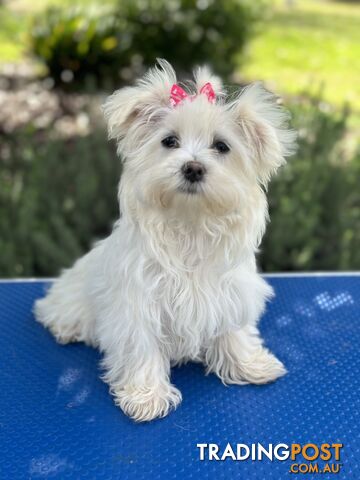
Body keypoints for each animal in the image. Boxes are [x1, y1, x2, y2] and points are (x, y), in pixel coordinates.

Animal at [35, 59, 296, 420]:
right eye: (169, 141)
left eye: (221, 146)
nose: (193, 168)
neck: (190, 223)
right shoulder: (138, 307)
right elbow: (141, 349)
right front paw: (146, 396)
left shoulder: (229, 293)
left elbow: (235, 332)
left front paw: (249, 364)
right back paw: (66, 328)